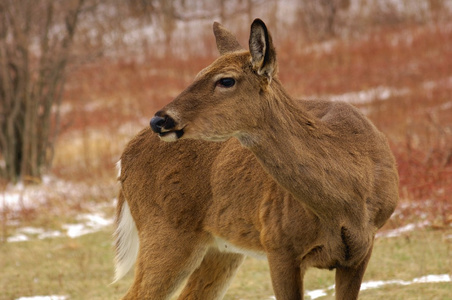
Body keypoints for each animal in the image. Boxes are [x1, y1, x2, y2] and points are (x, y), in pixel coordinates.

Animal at [114, 19, 400, 300]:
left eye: (226, 80)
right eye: (199, 73)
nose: (159, 120)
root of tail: (124, 155)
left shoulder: (361, 250)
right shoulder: (278, 244)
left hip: (220, 248)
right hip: (166, 230)